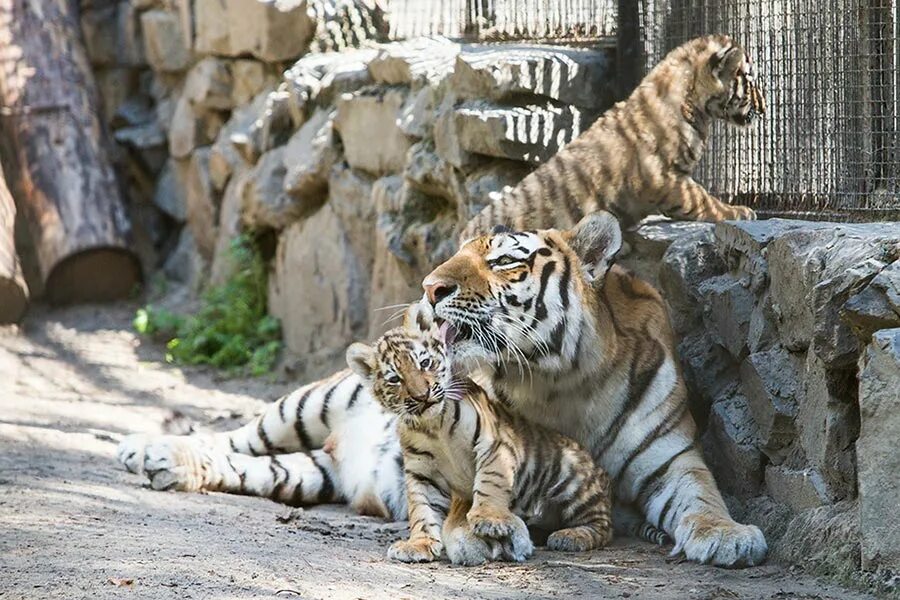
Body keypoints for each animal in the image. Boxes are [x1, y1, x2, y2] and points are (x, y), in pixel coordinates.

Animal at [342, 302, 612, 564]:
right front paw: (418, 544)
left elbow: (490, 482)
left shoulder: (493, 444)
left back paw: (572, 536)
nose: (422, 395)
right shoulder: (422, 472)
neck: (434, 426)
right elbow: (421, 509)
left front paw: (491, 521)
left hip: (571, 477)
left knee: (603, 523)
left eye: (424, 363)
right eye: (395, 379)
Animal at [460, 34, 764, 239]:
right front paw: (739, 212)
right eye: (749, 80)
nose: (763, 108)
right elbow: (701, 198)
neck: (695, 105)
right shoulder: (663, 177)